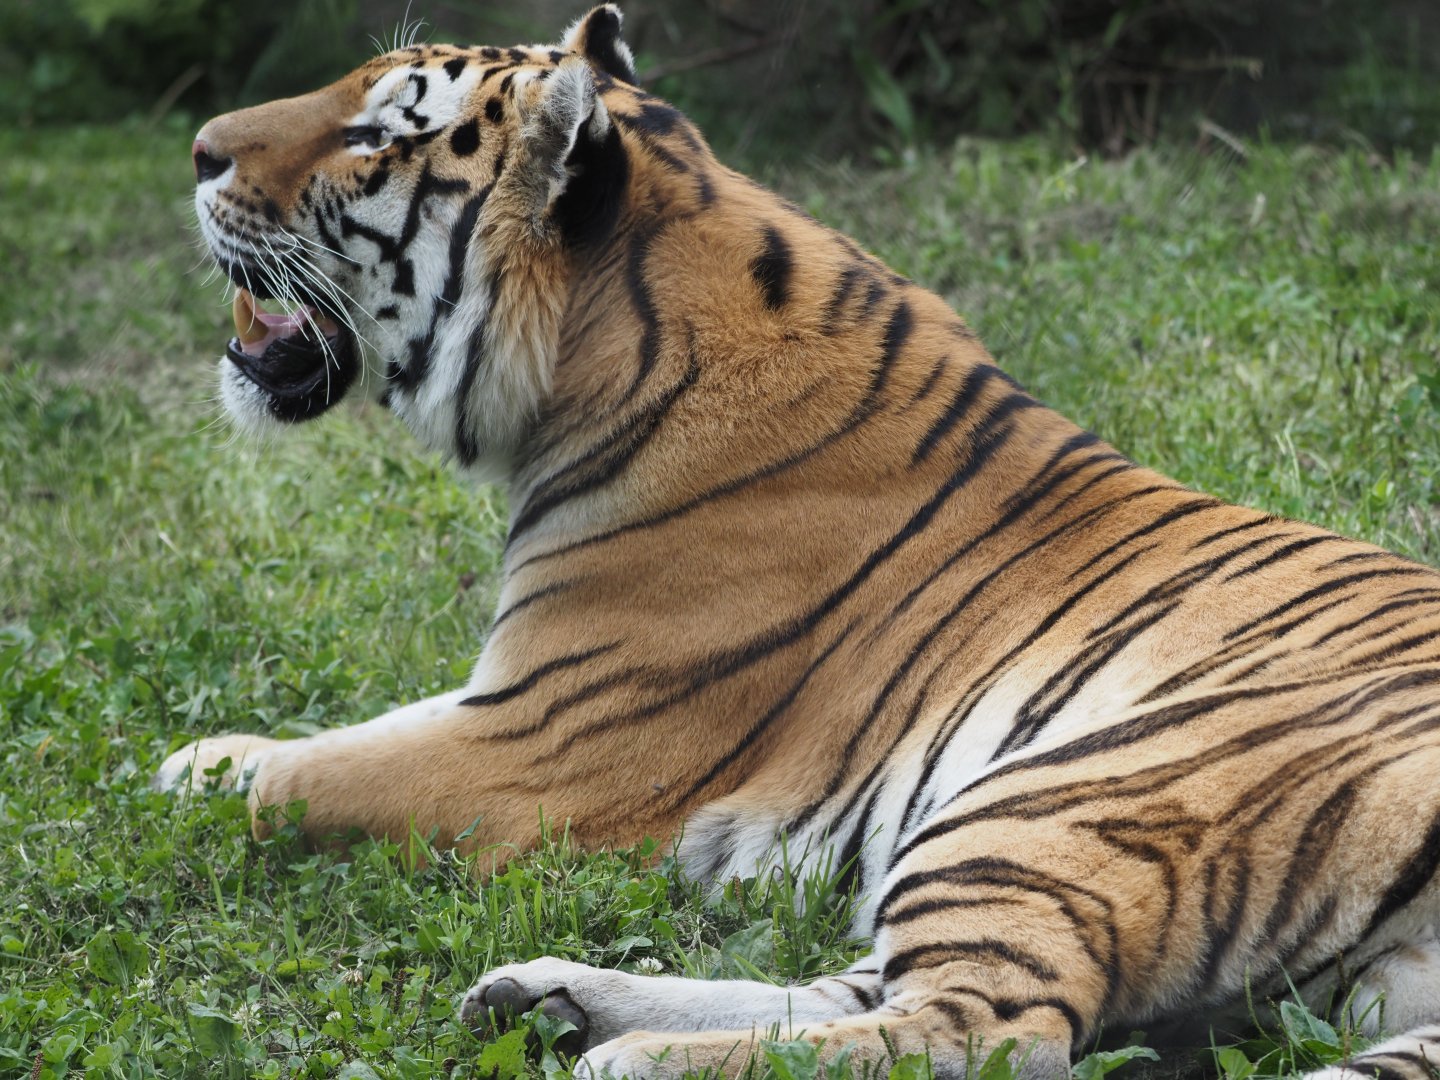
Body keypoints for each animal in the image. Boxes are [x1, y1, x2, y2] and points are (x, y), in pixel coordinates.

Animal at [157, 5, 1440, 1078]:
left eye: (377, 133)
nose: (198, 150)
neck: (595, 357)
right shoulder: (520, 700)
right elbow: (336, 738)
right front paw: (205, 757)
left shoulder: (542, 737)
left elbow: (317, 773)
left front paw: (198, 775)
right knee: (861, 987)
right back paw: (551, 1000)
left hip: (1062, 795)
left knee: (988, 1030)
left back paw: (626, 1058)